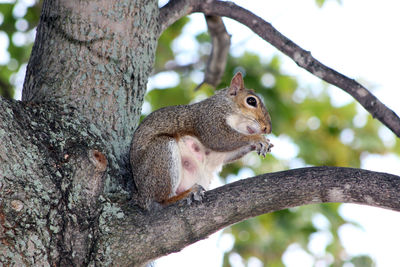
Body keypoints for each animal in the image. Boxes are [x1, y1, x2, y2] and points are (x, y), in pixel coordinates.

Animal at [130, 72, 274, 210]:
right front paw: (257, 139)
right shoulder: (209, 119)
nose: (267, 129)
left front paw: (262, 143)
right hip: (162, 154)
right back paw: (185, 194)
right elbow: (219, 139)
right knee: (160, 200)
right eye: (251, 101)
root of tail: (142, 196)